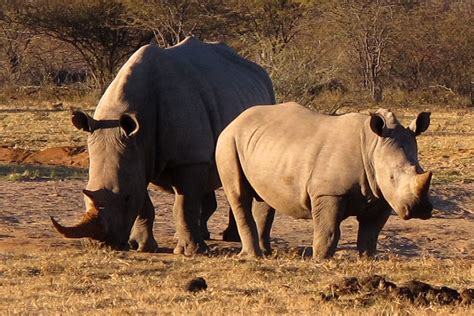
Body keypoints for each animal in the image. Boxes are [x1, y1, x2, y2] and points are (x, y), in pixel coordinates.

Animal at [49, 36, 274, 254]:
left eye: (126, 198)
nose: (103, 245)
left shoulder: (189, 158)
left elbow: (183, 205)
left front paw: (190, 251)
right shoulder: (136, 156)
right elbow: (144, 203)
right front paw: (141, 246)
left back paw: (228, 238)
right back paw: (199, 235)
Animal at [217, 102, 432, 258]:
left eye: (420, 169)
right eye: (391, 177)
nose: (420, 210)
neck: (373, 147)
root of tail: (235, 120)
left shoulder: (381, 196)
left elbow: (370, 235)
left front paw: (367, 259)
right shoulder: (329, 192)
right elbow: (328, 231)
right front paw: (320, 259)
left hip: (262, 147)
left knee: (265, 199)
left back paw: (267, 254)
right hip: (228, 141)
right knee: (239, 196)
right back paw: (253, 257)